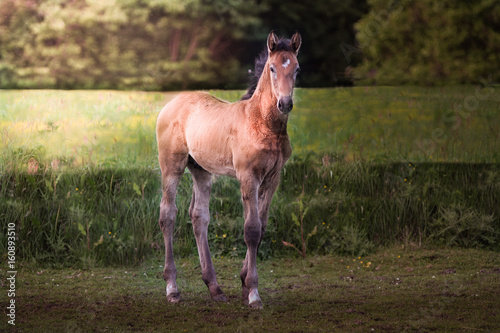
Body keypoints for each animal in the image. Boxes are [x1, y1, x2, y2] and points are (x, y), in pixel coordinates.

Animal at [156, 31, 300, 308]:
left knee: (199, 216)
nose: (285, 103)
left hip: (201, 169)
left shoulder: (273, 178)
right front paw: (253, 293)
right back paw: (172, 289)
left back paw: (214, 287)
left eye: (297, 69)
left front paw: (244, 283)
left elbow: (261, 227)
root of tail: (171, 103)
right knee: (168, 214)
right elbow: (251, 230)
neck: (263, 123)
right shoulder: (248, 176)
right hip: (172, 165)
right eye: (273, 67)